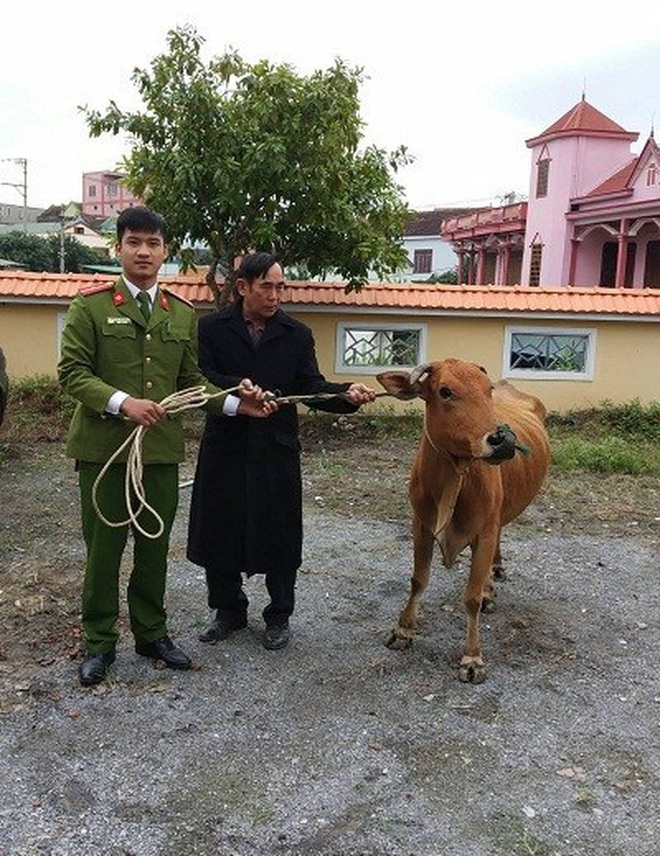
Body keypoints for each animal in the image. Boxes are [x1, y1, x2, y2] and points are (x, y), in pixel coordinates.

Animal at [378, 356, 548, 684]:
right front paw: (403, 629)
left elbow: (470, 597)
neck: (453, 477)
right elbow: (418, 579)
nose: (503, 441)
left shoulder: (484, 532)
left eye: (488, 389)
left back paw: (490, 586)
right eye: (445, 391)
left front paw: (472, 658)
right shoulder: (421, 525)